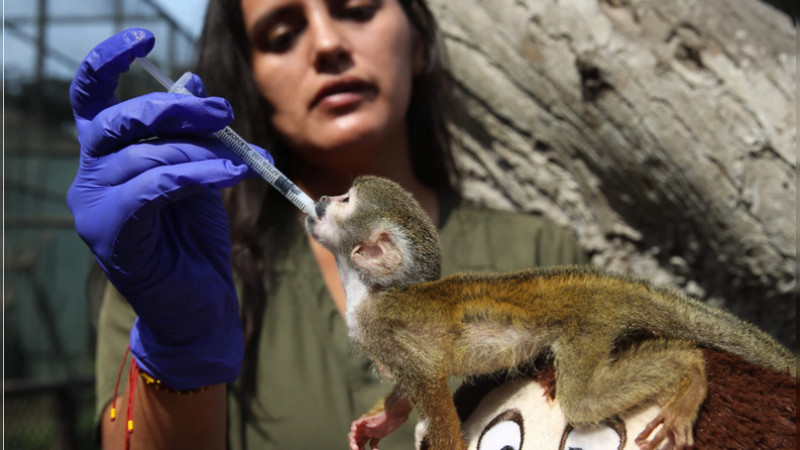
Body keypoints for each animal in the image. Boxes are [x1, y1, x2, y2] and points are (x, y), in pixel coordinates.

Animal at [304, 175, 796, 450]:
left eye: (345, 201)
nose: (322, 200)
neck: (366, 291)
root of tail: (597, 280)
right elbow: (415, 387)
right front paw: (380, 421)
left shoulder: (384, 329)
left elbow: (431, 389)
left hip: (589, 326)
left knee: (583, 400)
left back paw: (689, 371)